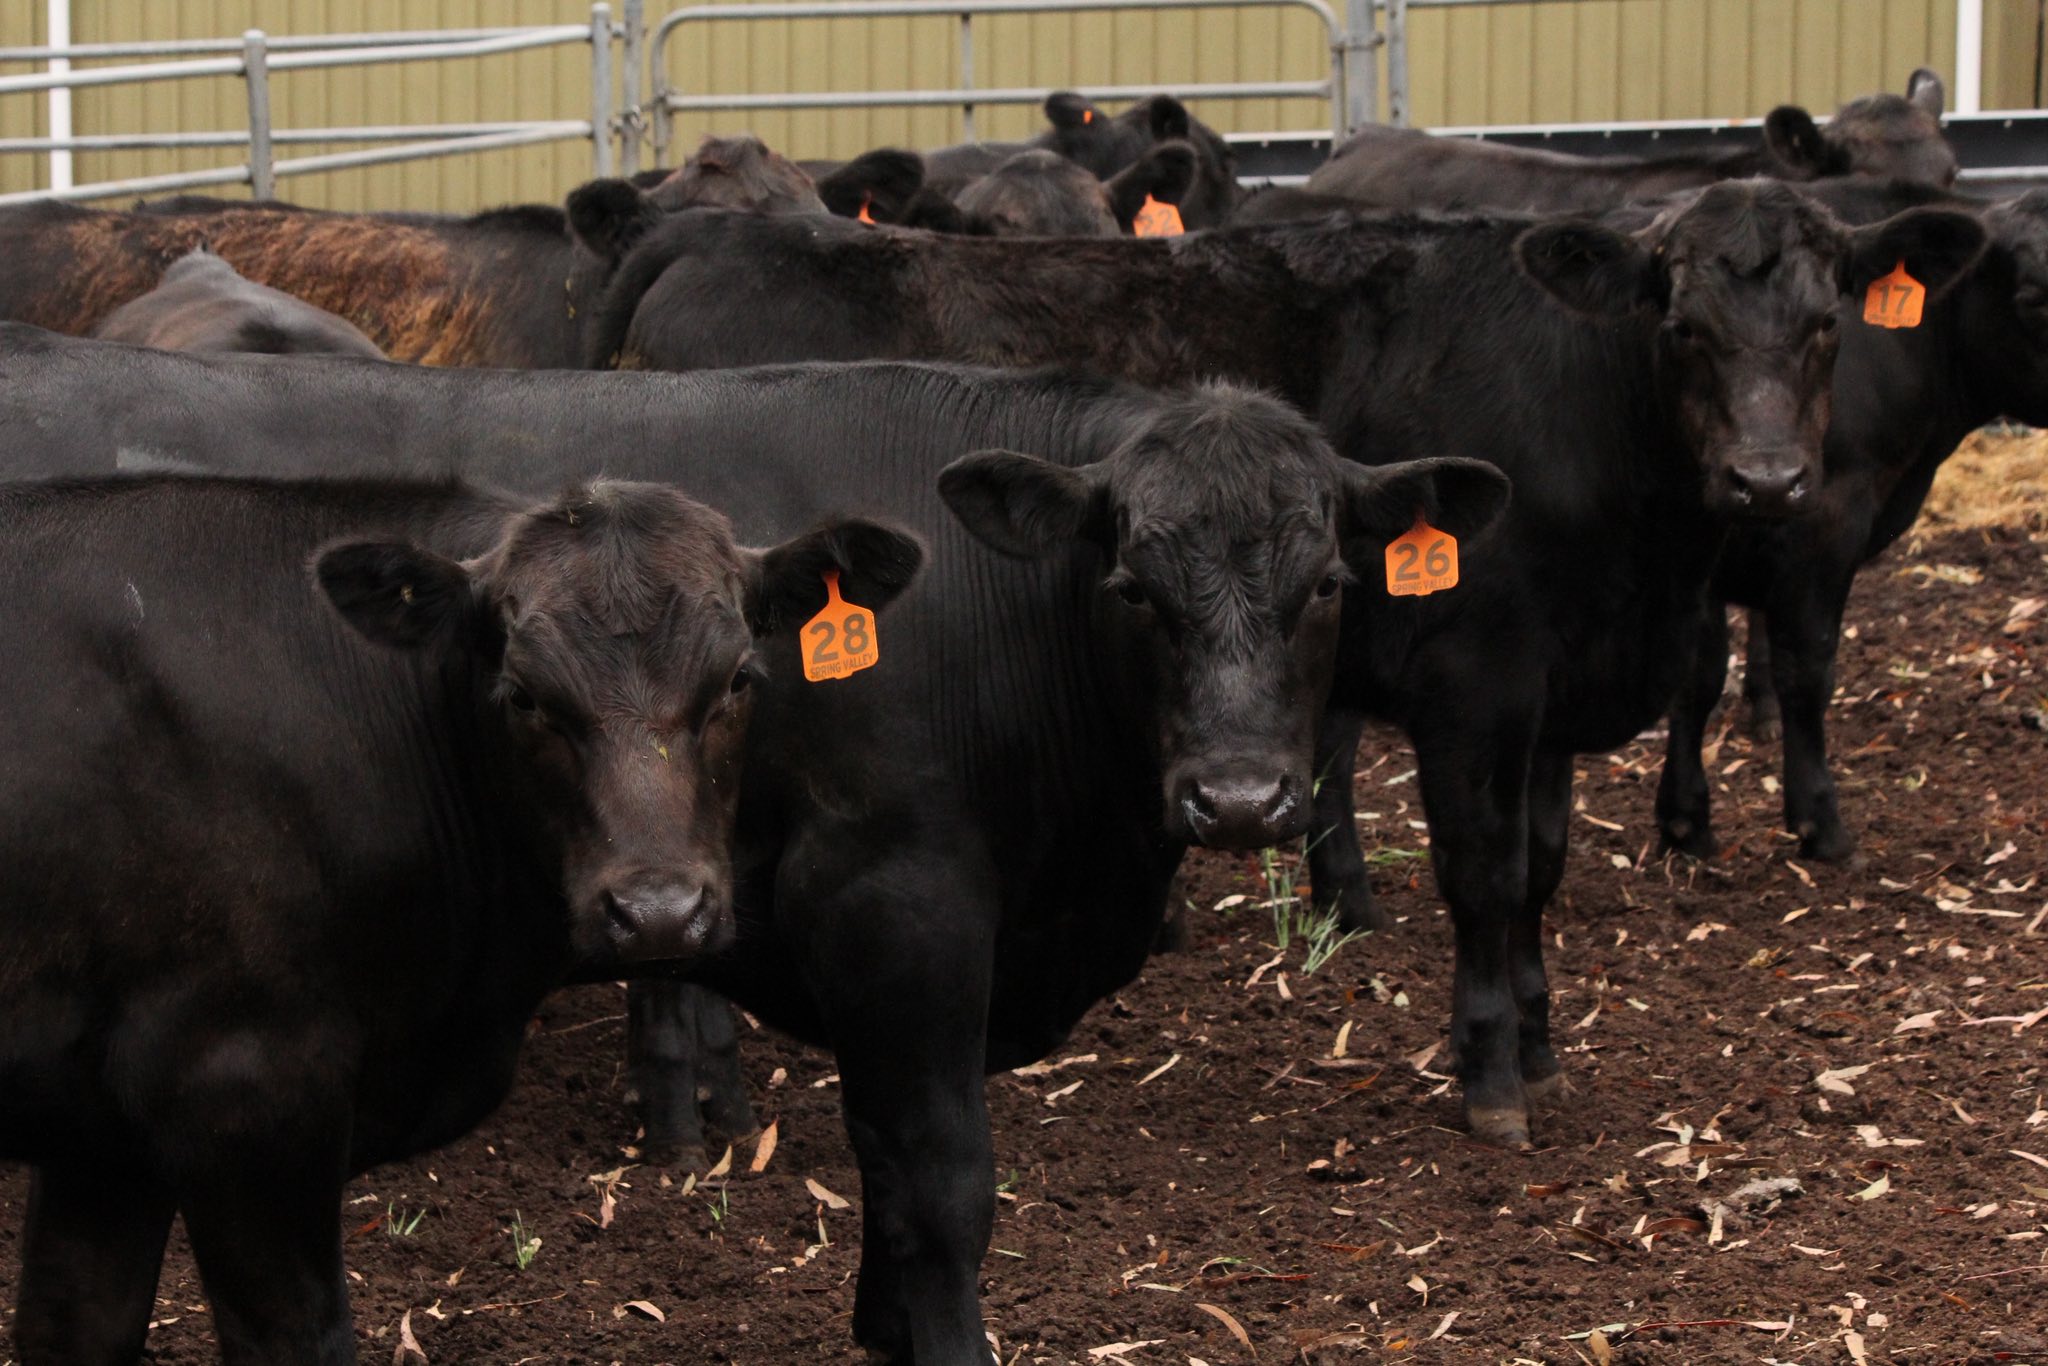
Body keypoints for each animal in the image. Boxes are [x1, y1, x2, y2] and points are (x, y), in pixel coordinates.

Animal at [580, 184, 1985, 1154]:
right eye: (1683, 325)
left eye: (1825, 327)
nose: (1768, 481)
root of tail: (704, 229)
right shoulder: (1476, 686)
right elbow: (1482, 879)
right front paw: (1489, 1077)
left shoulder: (1544, 705)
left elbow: (1537, 872)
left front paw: (1533, 1040)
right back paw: (688, 1112)